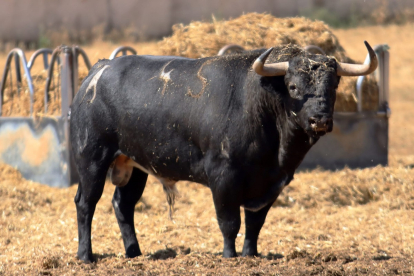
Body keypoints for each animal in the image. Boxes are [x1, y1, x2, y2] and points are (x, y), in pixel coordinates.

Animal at [70, 41, 376, 260]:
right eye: (292, 86)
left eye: (333, 85)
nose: (320, 120)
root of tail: (99, 70)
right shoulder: (223, 177)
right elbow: (230, 222)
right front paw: (230, 257)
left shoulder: (271, 183)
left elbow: (255, 223)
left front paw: (251, 255)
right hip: (92, 159)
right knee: (86, 204)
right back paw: (86, 256)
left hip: (134, 166)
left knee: (123, 205)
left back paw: (134, 253)